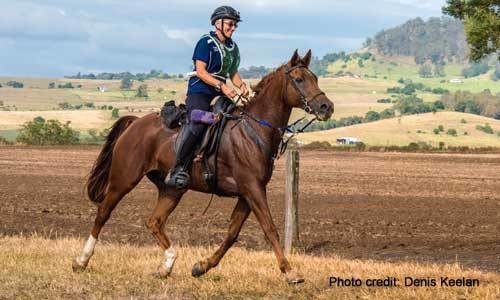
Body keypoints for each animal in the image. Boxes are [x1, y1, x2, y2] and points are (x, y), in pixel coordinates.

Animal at [72, 49, 334, 284]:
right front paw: (290, 272)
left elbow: (232, 233)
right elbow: (269, 228)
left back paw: (167, 265)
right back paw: (81, 261)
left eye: (315, 78)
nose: (326, 107)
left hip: (172, 188)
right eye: (299, 79)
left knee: (154, 221)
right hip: (123, 180)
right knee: (103, 213)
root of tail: (135, 123)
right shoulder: (253, 189)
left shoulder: (247, 193)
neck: (253, 130)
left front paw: (202, 266)